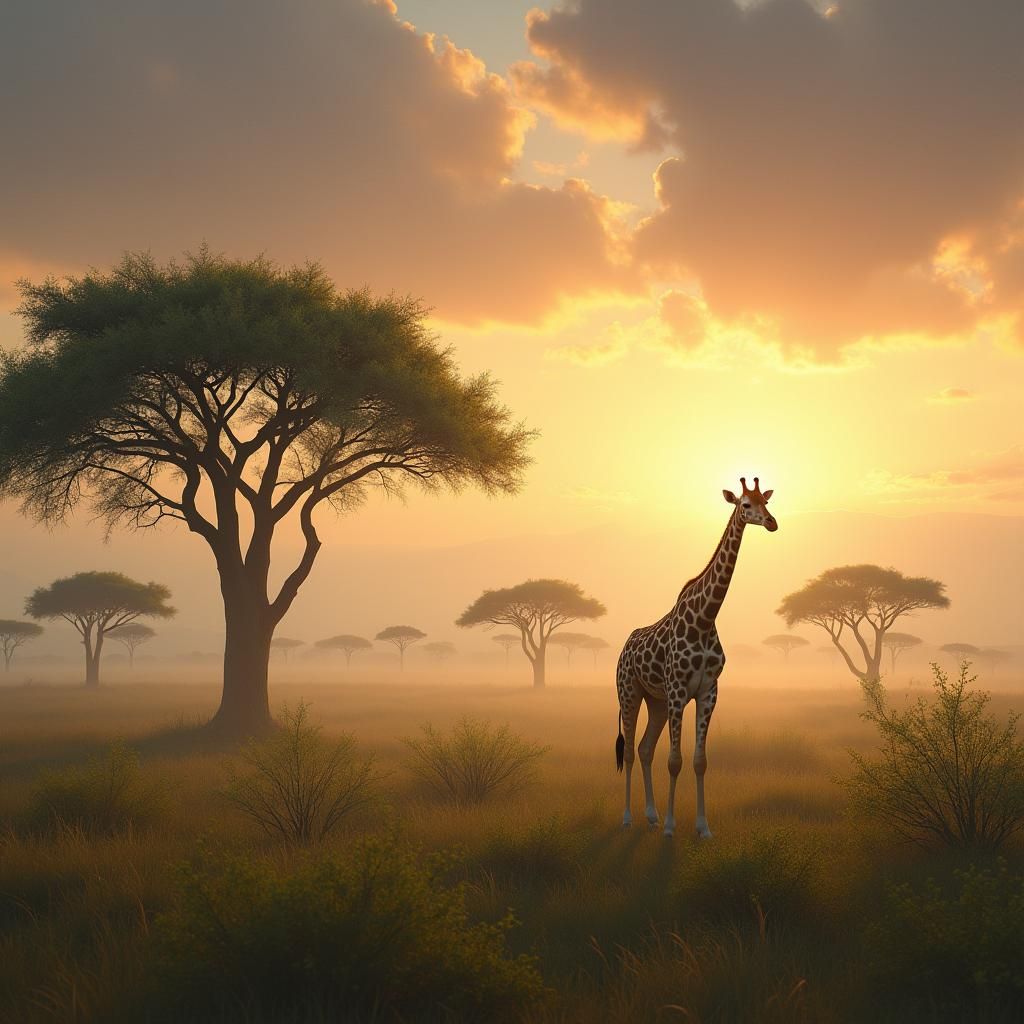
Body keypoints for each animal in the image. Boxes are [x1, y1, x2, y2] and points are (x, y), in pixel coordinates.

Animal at [615, 477, 778, 838]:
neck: (704, 618)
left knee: (645, 748)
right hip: (630, 693)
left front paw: (702, 827)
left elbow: (700, 761)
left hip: (656, 701)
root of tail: (624, 647)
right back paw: (629, 818)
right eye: (745, 504)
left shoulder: (708, 691)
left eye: (766, 501)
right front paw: (671, 827)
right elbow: (674, 761)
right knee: (630, 751)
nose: (772, 523)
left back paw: (650, 815)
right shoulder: (678, 692)